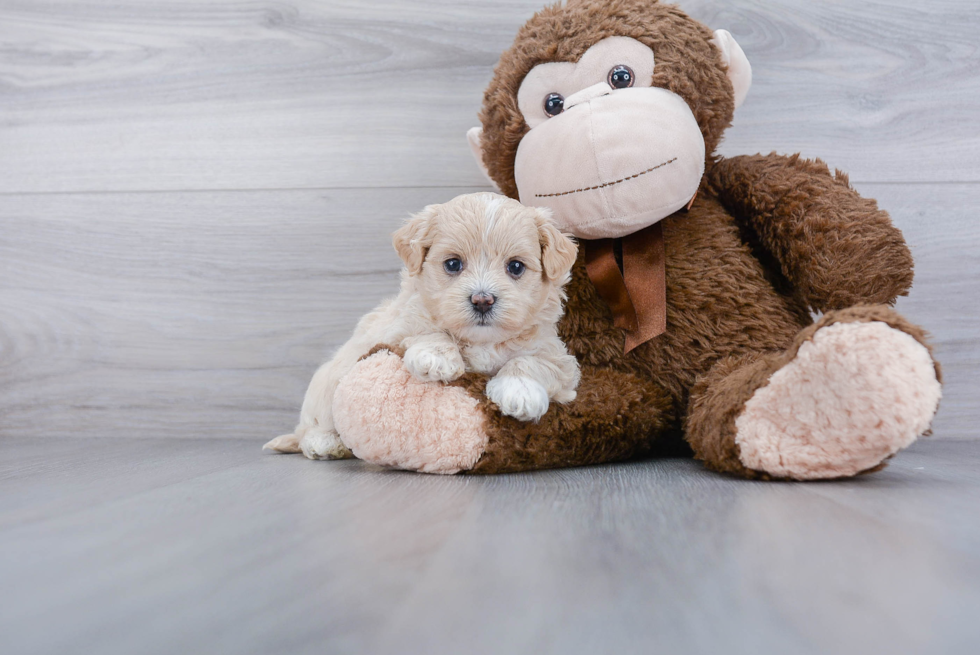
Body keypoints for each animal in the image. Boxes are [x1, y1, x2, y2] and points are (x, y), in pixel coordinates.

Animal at [262, 191, 580, 462]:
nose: (482, 300)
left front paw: (519, 390)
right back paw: (326, 443)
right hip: (327, 385)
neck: (481, 341)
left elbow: (534, 361)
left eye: (515, 267)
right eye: (453, 264)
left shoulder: (559, 357)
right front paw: (437, 357)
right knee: (310, 428)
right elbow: (425, 329)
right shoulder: (397, 328)